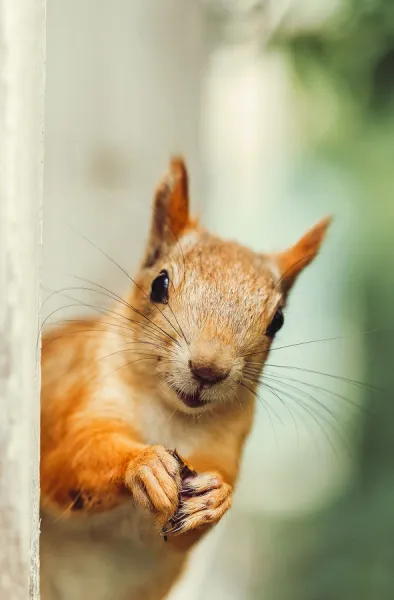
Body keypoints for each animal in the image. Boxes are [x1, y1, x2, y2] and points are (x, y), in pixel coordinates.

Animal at [40, 158, 330, 600]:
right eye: (159, 284)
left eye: (278, 321)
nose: (208, 369)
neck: (169, 415)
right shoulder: (79, 396)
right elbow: (67, 460)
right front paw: (142, 464)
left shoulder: (224, 449)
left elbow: (185, 534)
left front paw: (216, 497)